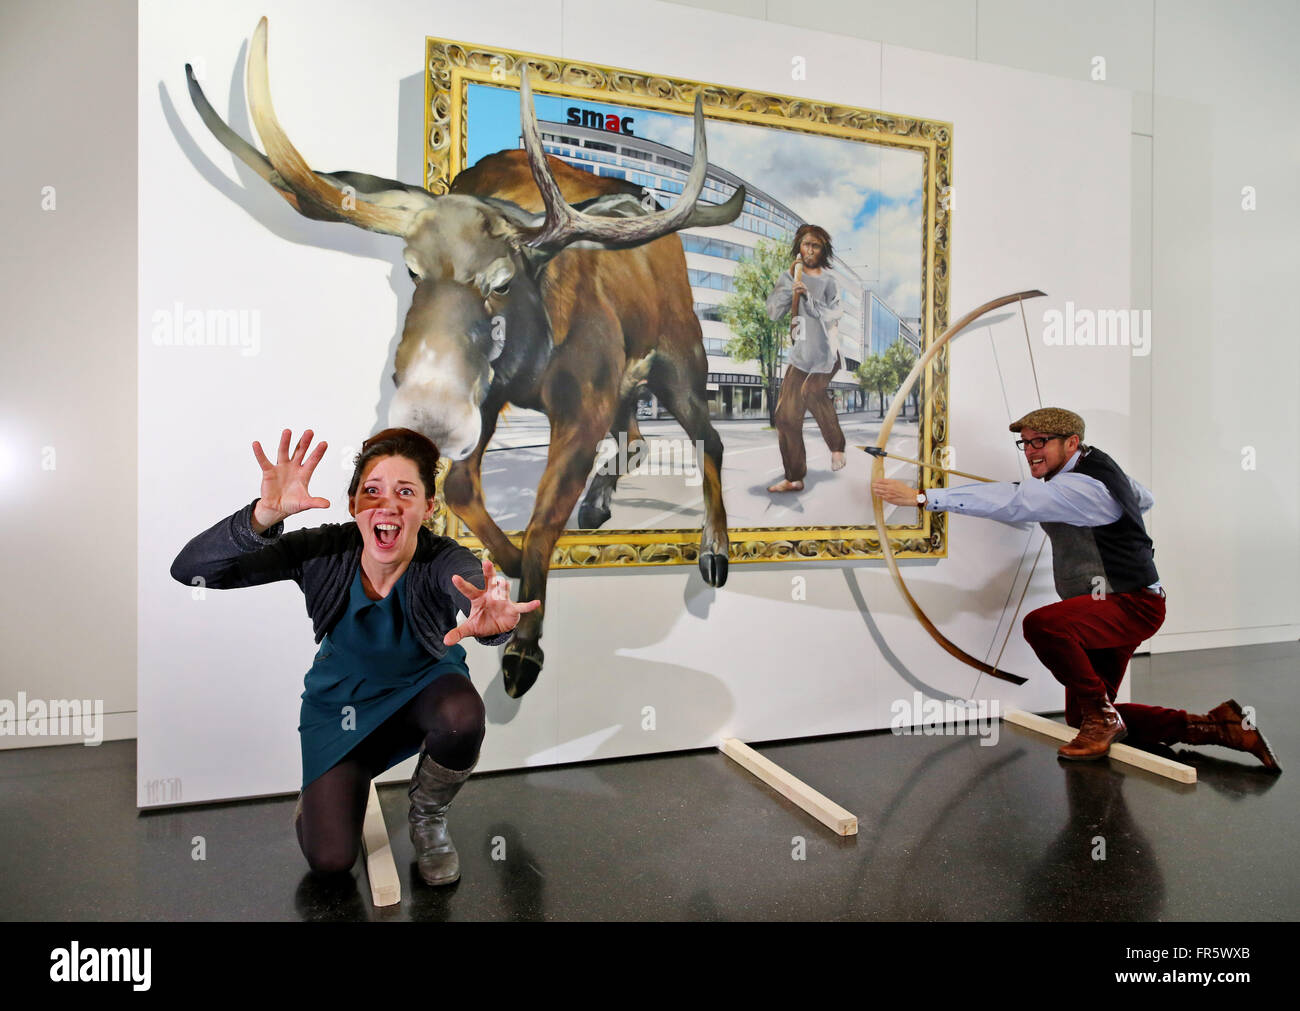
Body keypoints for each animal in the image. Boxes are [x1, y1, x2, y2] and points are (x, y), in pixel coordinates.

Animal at [185, 19, 743, 691]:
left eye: (501, 282)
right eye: (410, 270)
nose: (427, 410)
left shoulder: (577, 404)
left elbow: (541, 521)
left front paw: (524, 645)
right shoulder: (490, 397)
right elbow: (462, 490)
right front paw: (503, 566)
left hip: (681, 360)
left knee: (708, 438)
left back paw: (714, 550)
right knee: (634, 432)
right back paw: (600, 502)